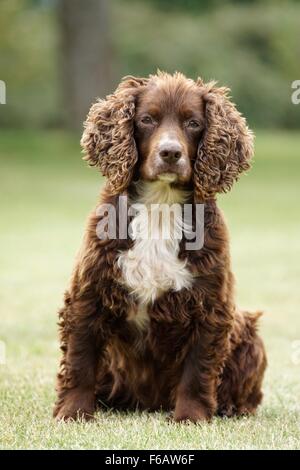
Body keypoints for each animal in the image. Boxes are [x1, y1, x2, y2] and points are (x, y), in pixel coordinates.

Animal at [52, 72, 266, 422]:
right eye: (146, 120)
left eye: (193, 123)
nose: (170, 153)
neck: (160, 206)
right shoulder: (89, 292)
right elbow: (80, 359)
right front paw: (73, 413)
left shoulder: (210, 305)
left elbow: (198, 369)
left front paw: (191, 417)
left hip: (248, 330)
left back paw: (231, 406)